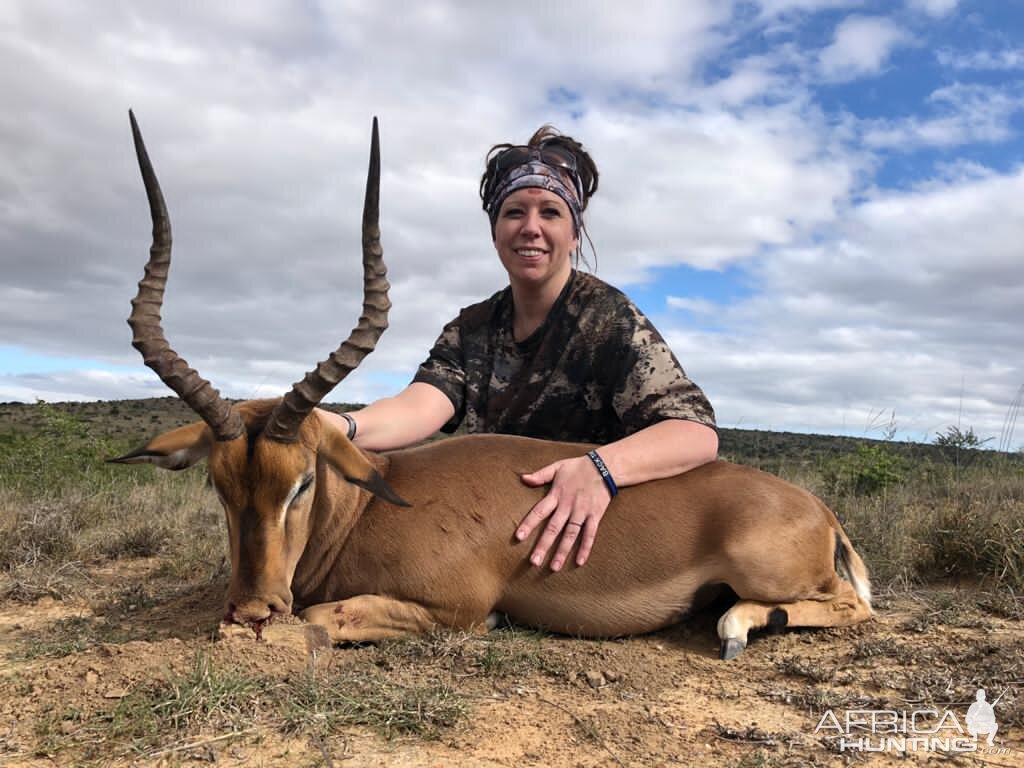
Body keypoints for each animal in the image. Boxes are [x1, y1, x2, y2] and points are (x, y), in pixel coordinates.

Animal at [112, 114, 872, 663]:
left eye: (301, 482)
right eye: (219, 485)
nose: (253, 610)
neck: (364, 508)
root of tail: (818, 509)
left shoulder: (455, 610)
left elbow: (324, 616)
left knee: (853, 605)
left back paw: (737, 626)